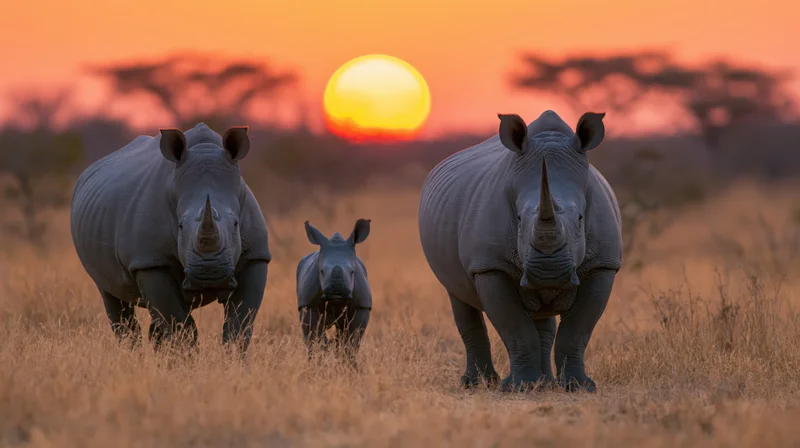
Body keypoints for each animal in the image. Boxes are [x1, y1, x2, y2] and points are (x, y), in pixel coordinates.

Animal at [70, 123, 271, 354]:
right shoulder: (150, 261)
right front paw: (186, 361)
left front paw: (233, 361)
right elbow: (179, 325)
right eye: (180, 226)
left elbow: (239, 324)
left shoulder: (255, 256)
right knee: (113, 298)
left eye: (237, 224)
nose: (210, 274)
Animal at [296, 219, 372, 365]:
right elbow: (316, 337)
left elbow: (351, 341)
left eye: (353, 272)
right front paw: (320, 362)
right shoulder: (308, 306)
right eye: (321, 271)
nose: (337, 291)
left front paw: (349, 364)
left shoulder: (363, 307)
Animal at [418, 110, 622, 392]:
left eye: (581, 219)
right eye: (518, 219)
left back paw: (546, 384)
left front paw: (579, 387)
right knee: (459, 297)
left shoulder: (602, 264)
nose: (549, 273)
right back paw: (478, 384)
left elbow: (577, 330)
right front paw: (517, 387)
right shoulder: (489, 266)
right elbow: (515, 329)